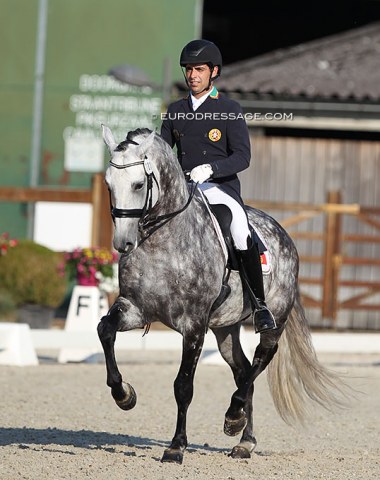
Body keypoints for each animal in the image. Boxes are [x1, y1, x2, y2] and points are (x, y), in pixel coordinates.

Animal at [97, 125, 348, 464]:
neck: (162, 241)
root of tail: (282, 232)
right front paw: (124, 394)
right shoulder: (135, 308)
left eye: (138, 184)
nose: (123, 243)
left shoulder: (193, 325)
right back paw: (244, 438)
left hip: (274, 316)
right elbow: (105, 330)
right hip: (225, 327)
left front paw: (176, 447)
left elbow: (183, 386)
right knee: (242, 370)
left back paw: (234, 416)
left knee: (261, 359)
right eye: (108, 183)